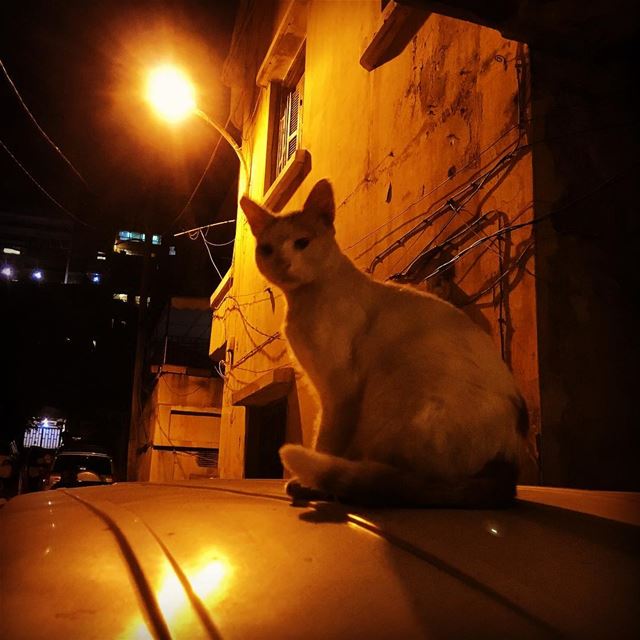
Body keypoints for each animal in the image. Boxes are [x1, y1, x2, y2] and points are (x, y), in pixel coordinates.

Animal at [240, 179, 528, 504]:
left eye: (302, 243)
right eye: (267, 249)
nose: (281, 262)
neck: (304, 300)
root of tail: (509, 468)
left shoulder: (340, 390)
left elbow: (327, 440)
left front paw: (312, 483)